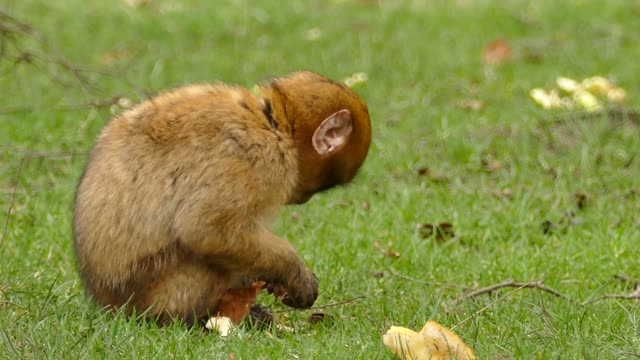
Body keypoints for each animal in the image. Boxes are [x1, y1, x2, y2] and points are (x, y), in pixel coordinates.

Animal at [71, 71, 370, 326]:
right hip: (157, 292)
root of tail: (109, 303)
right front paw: (292, 271)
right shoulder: (253, 158)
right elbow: (206, 231)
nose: (302, 198)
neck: (273, 124)